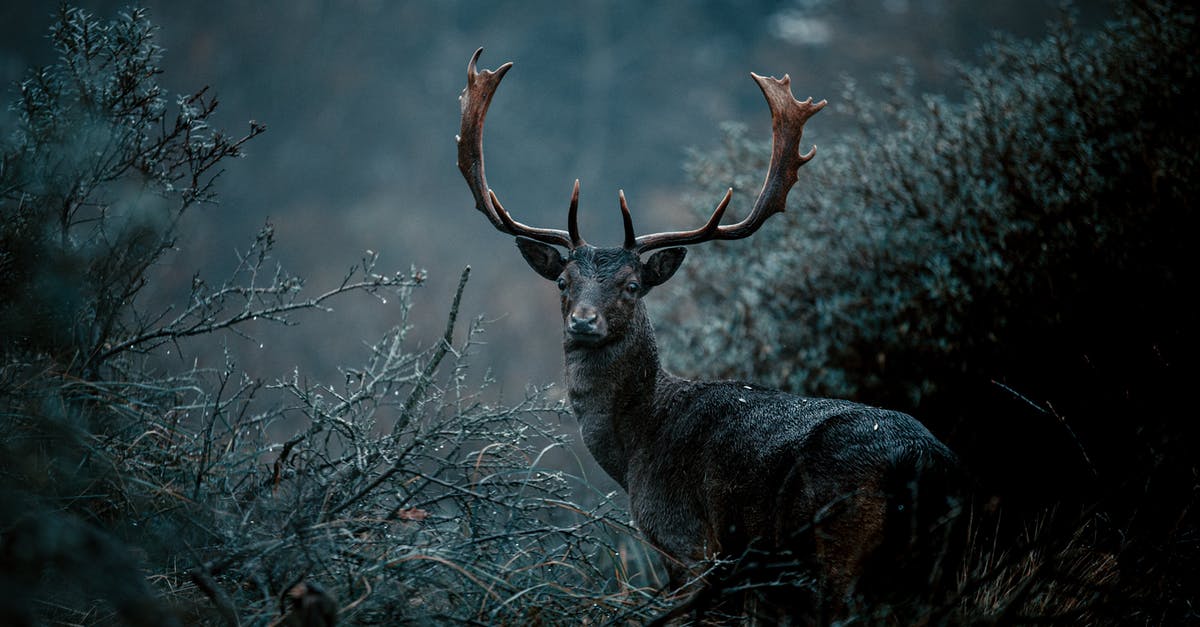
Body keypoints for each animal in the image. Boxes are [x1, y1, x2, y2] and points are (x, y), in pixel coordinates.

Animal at [455, 48, 962, 622]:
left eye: (633, 285)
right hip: (941, 563)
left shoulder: (688, 542)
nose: (583, 321)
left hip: (838, 546)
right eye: (563, 282)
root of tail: (922, 464)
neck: (634, 450)